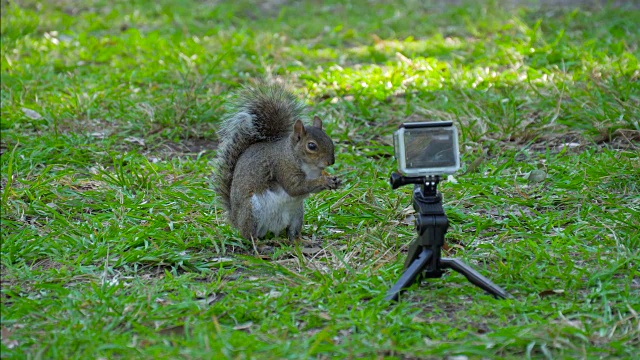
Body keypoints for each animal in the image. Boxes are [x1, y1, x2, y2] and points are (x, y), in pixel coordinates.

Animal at [215, 81, 342, 239]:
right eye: (311, 146)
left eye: (330, 140)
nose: (331, 162)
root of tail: (235, 219)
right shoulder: (283, 167)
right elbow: (295, 187)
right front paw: (324, 181)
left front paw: (335, 180)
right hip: (251, 211)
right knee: (249, 236)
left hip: (296, 214)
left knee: (292, 234)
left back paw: (300, 241)